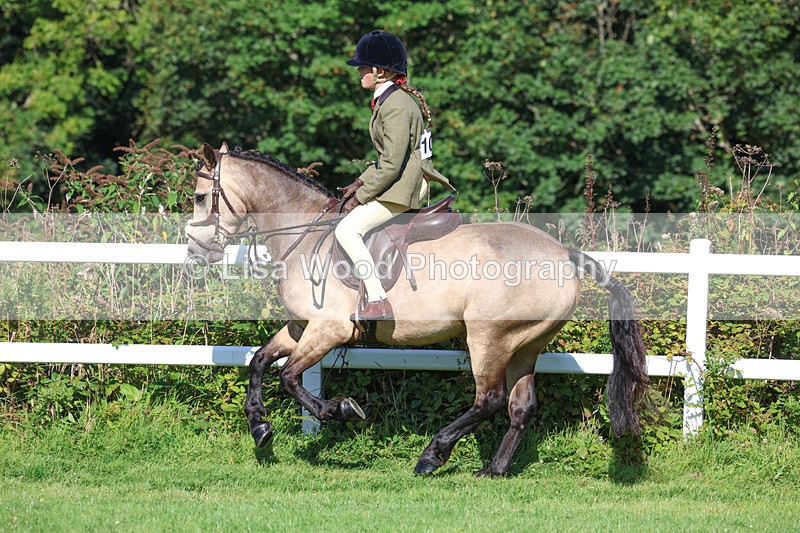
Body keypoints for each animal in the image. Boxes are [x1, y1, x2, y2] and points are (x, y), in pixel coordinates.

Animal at [185, 142, 649, 477]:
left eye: (200, 197)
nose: (194, 254)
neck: (305, 233)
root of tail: (564, 253)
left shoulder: (330, 329)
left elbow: (290, 377)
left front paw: (341, 410)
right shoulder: (302, 327)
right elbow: (260, 363)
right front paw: (260, 427)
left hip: (489, 338)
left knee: (489, 399)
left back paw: (432, 455)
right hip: (526, 344)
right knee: (520, 406)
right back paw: (494, 470)